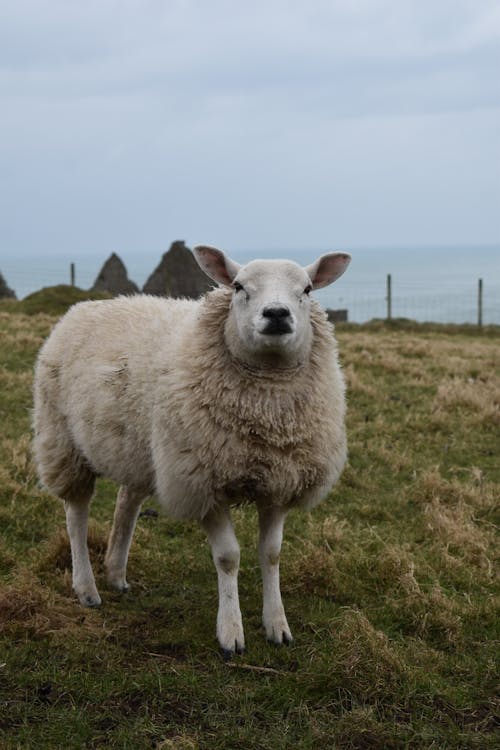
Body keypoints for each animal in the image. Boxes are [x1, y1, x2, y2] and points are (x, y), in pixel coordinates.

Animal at [32, 247, 352, 656]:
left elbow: (272, 553)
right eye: (238, 286)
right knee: (76, 515)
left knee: (126, 502)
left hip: (142, 451)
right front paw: (231, 632)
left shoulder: (280, 482)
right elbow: (228, 557)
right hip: (64, 442)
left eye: (307, 289)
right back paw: (86, 588)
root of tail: (86, 306)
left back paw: (116, 573)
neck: (265, 412)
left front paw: (277, 625)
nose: (277, 314)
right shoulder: (202, 481)